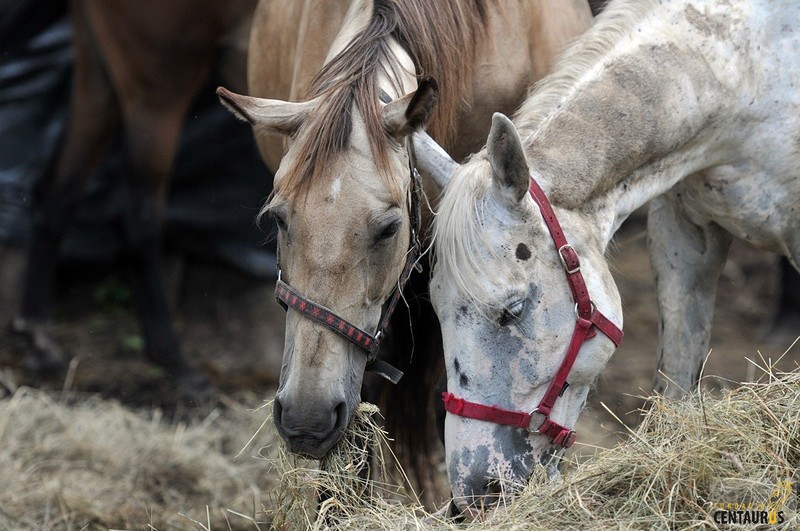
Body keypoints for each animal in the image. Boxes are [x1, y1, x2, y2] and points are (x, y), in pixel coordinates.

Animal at [11, 1, 256, 400]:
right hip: (158, 84)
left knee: (58, 194)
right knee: (136, 219)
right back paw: (174, 360)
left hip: (99, 74)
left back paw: (40, 337)